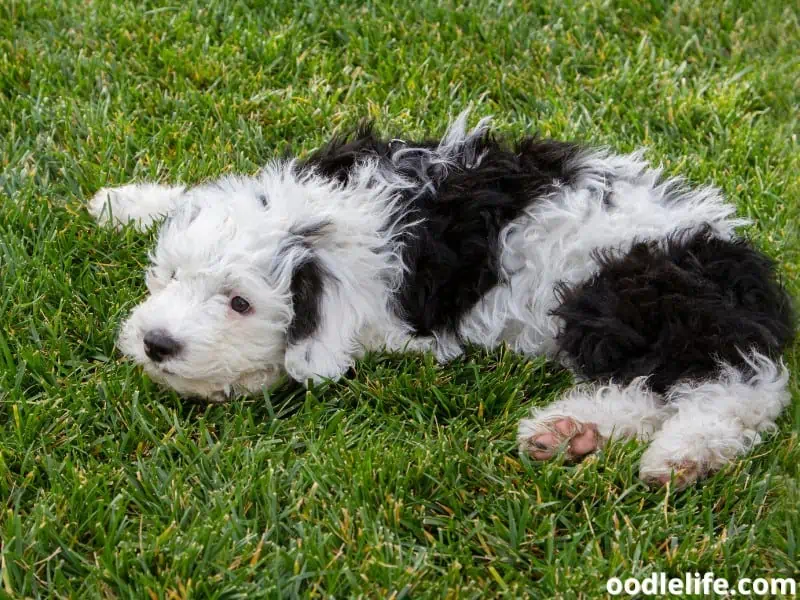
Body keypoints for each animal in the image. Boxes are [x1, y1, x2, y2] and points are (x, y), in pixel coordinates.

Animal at [89, 111, 792, 488]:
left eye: (239, 303)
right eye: (168, 276)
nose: (156, 344)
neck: (330, 219)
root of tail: (745, 275)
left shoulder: (386, 316)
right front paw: (126, 203)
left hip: (623, 293)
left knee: (736, 385)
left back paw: (679, 453)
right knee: (649, 389)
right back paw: (574, 433)